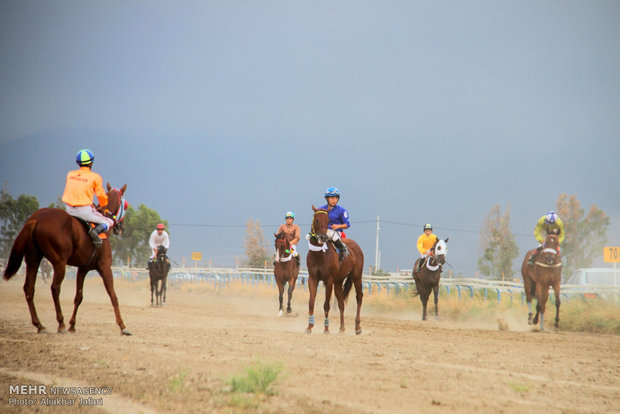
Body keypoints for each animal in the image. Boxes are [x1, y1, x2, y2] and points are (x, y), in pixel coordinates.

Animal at [2, 184, 131, 336]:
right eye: (125, 204)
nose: (122, 228)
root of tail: (36, 218)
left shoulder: (83, 269)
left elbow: (78, 297)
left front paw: (72, 325)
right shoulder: (105, 267)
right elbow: (113, 296)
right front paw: (122, 326)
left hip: (33, 259)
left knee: (29, 288)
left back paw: (39, 325)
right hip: (59, 263)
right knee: (55, 288)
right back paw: (60, 323)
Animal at [304, 205, 364, 334]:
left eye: (328, 221)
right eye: (317, 220)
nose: (323, 237)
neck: (320, 254)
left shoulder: (329, 280)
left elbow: (326, 305)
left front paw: (326, 328)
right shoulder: (313, 278)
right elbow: (311, 303)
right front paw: (309, 327)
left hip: (356, 276)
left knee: (359, 297)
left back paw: (357, 327)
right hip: (338, 282)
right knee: (341, 303)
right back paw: (342, 328)